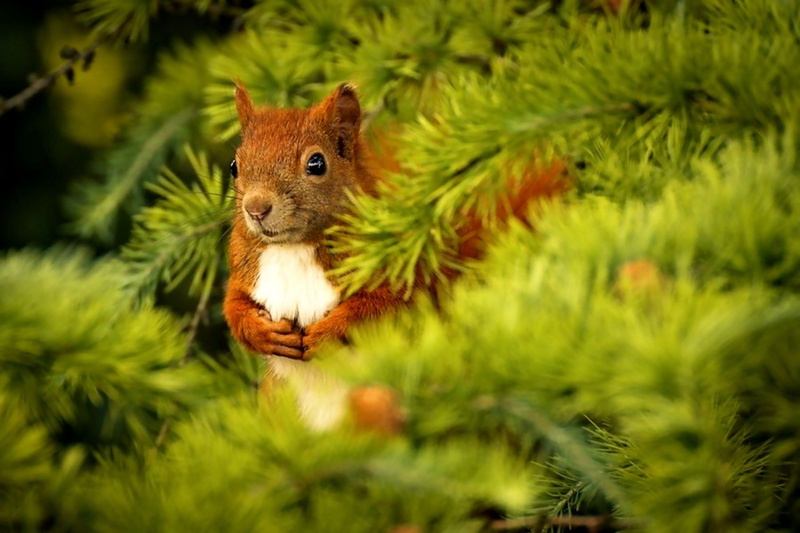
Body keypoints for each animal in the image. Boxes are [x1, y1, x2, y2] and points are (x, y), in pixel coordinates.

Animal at [223, 82, 568, 429]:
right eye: (234, 166)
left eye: (316, 164)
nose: (256, 208)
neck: (294, 247)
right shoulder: (244, 274)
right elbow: (233, 307)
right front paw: (261, 332)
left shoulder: (401, 275)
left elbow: (384, 309)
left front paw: (327, 333)